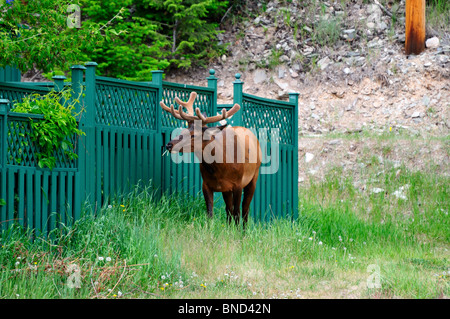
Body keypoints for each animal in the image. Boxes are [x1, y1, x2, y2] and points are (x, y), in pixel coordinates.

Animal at [161, 92, 260, 228]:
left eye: (194, 135)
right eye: (184, 130)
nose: (169, 145)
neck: (221, 168)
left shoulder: (238, 183)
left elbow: (237, 212)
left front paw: (237, 233)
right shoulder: (206, 184)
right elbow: (210, 213)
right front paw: (211, 229)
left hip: (253, 177)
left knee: (245, 209)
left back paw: (243, 231)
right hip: (226, 189)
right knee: (228, 209)